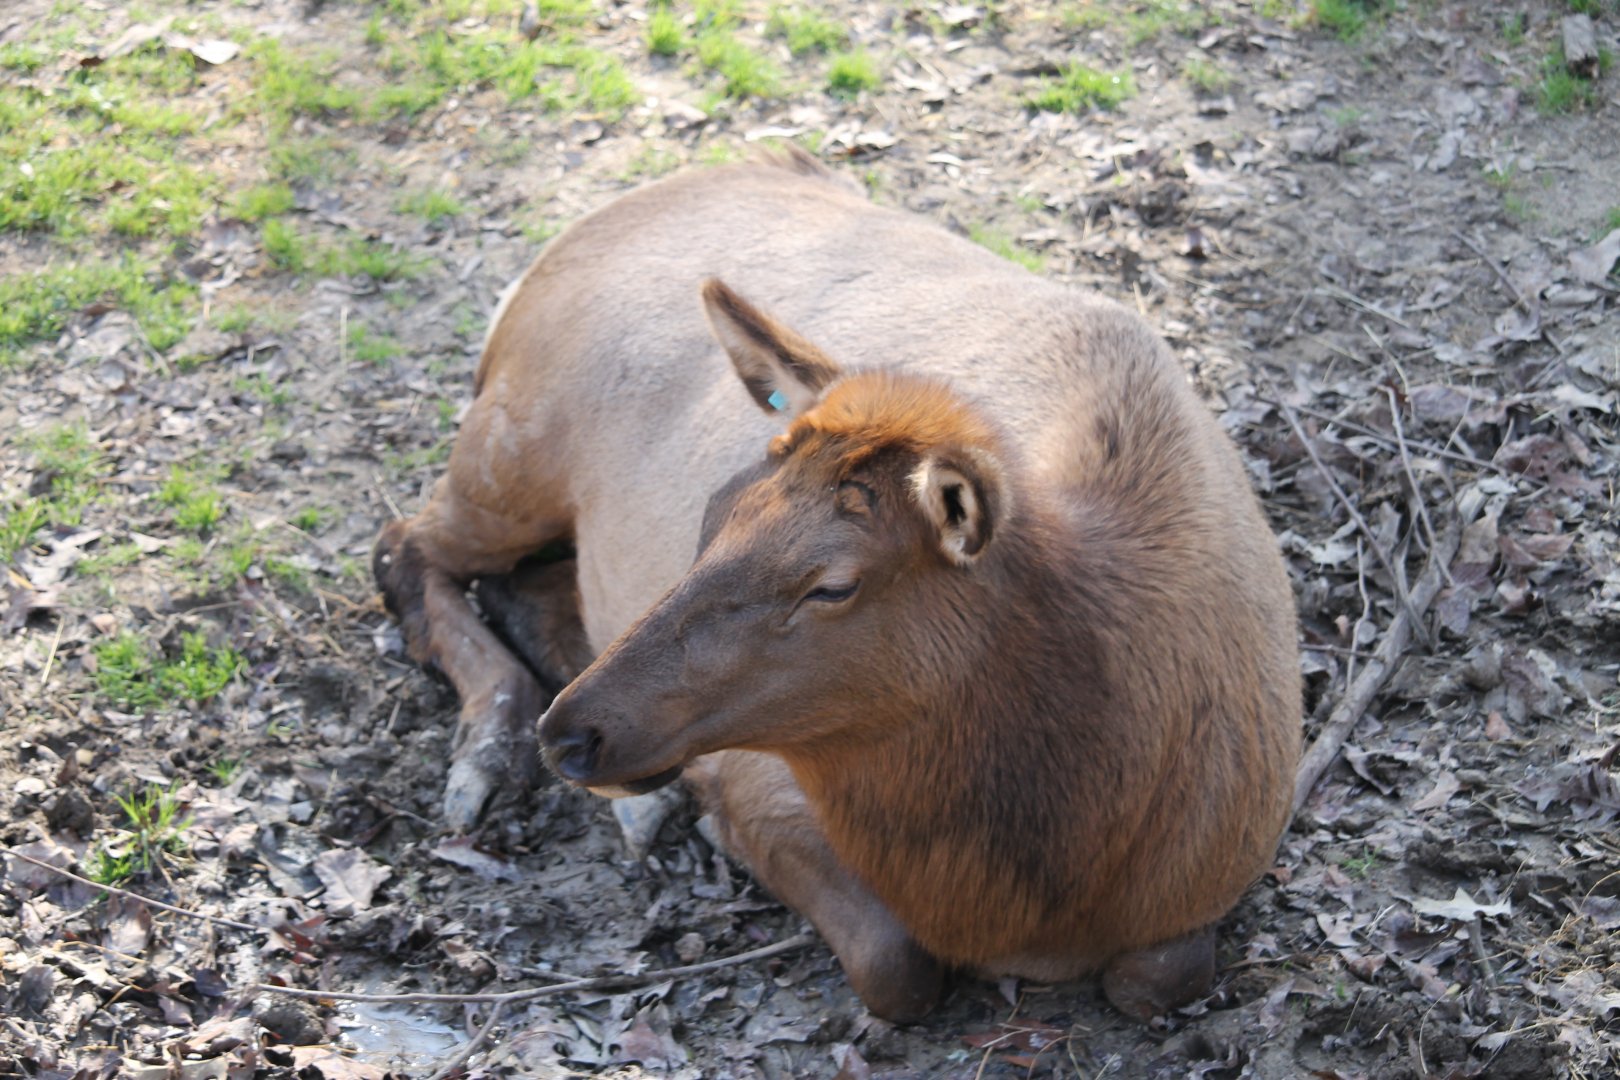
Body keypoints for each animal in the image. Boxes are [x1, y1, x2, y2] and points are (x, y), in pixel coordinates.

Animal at [373, 147, 1301, 1023]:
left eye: (832, 585)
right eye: (713, 511)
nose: (573, 735)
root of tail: (549, 255)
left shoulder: (1214, 876)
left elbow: (1160, 976)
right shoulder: (764, 780)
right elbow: (898, 966)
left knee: (510, 584)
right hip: (514, 448)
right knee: (404, 546)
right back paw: (490, 752)